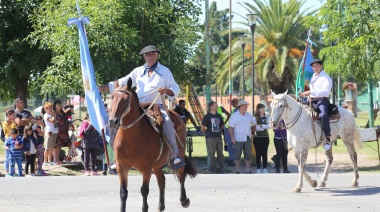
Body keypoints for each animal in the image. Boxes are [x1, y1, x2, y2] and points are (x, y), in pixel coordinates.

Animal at [107, 78, 196, 212]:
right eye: (112, 97)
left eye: (126, 99)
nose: (113, 121)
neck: (131, 138)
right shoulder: (121, 167)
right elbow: (123, 192)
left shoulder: (146, 168)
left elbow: (144, 190)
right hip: (156, 165)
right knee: (162, 181)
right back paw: (160, 206)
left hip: (178, 154)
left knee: (181, 175)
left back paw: (184, 200)